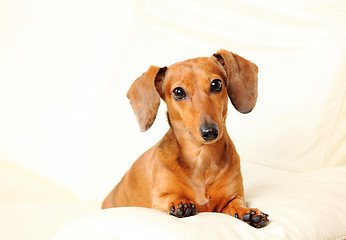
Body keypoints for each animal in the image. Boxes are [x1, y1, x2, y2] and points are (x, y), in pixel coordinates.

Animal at [102, 48, 270, 227]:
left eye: (216, 84)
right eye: (178, 92)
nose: (210, 131)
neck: (202, 158)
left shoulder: (233, 197)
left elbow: (236, 203)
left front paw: (248, 213)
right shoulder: (159, 198)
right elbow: (171, 198)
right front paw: (180, 204)